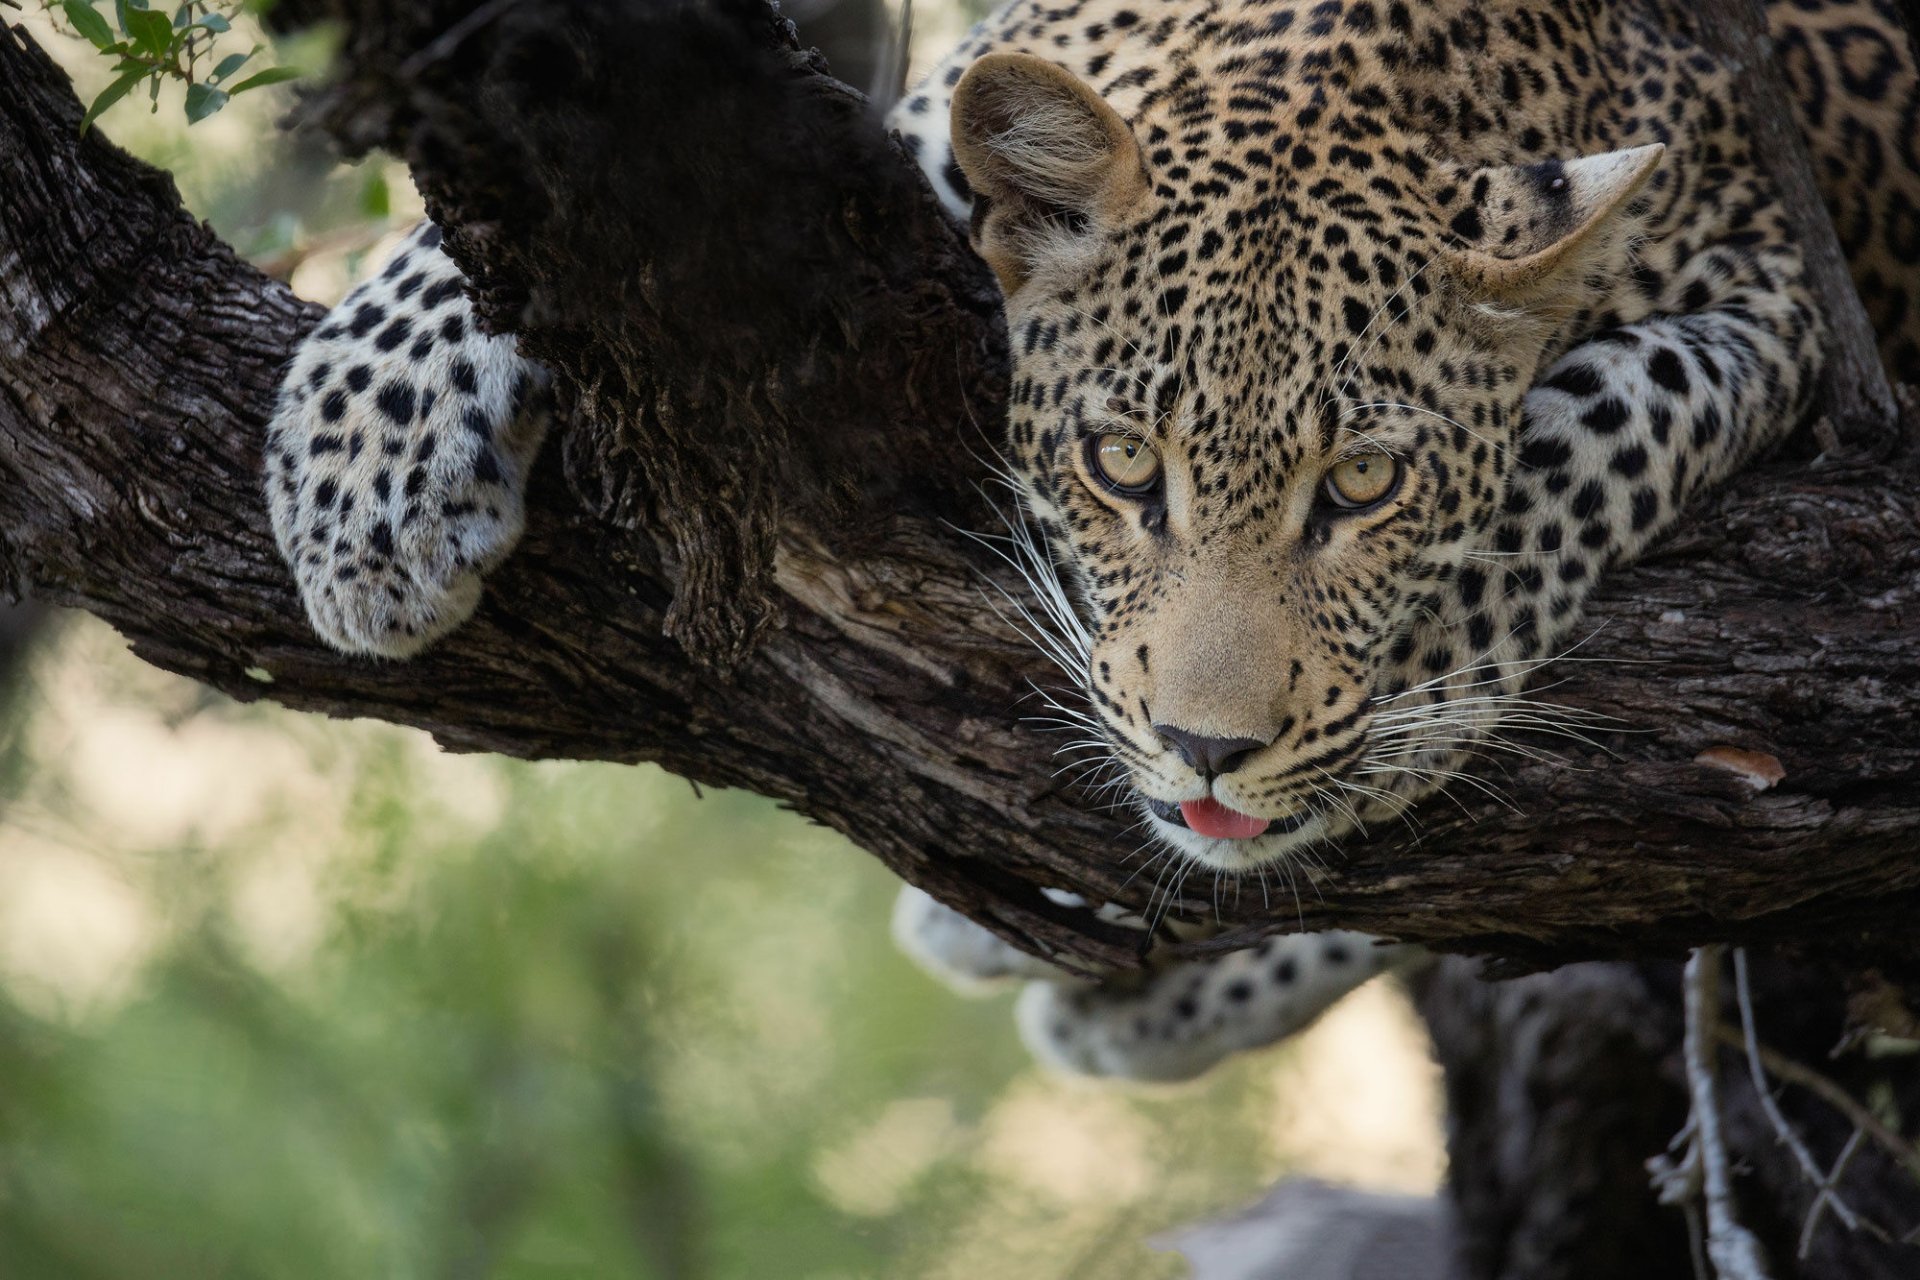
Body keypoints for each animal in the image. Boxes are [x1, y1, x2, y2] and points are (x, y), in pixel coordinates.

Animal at [263, 0, 1920, 1083]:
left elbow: (1606, 425)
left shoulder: (1777, 298)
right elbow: (525, 199)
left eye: (1366, 486)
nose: (1211, 751)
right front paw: (362, 457)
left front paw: (1407, 704)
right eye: (1125, 466)